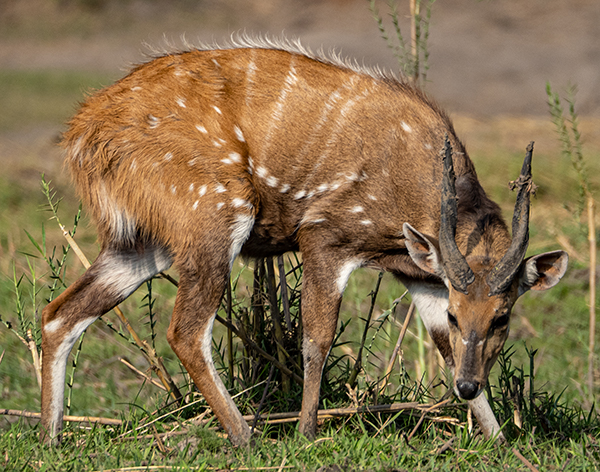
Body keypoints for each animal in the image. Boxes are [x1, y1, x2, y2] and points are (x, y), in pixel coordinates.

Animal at [41, 37, 568, 446]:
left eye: (502, 317)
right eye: (466, 314)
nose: (467, 388)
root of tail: (83, 135)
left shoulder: (422, 274)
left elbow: (441, 345)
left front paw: (499, 439)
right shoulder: (325, 236)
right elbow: (318, 338)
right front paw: (307, 431)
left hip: (141, 241)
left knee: (59, 314)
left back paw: (51, 436)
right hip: (213, 211)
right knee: (185, 331)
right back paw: (247, 436)